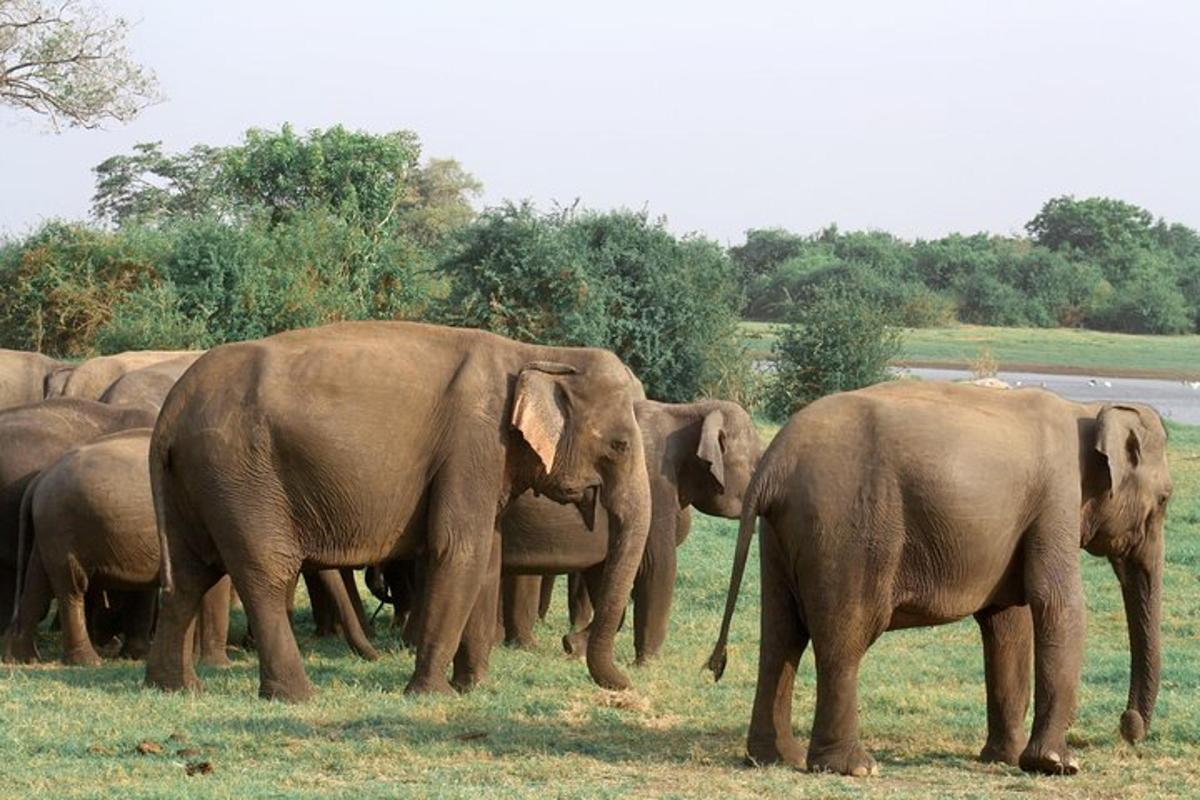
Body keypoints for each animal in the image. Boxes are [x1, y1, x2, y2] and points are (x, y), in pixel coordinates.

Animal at [4, 431, 231, 671]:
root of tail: (41, 478)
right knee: (72, 587)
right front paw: (218, 665)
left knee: (38, 583)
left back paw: (21, 658)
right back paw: (88, 662)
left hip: (49, 528)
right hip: (61, 525)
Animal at [144, 319, 652, 700]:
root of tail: (169, 415)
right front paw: (432, 694)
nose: (624, 684)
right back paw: (297, 695)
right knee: (265, 571)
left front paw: (473, 688)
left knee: (189, 574)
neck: (535, 352)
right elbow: (459, 550)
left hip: (196, 479)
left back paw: (176, 688)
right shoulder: (473, 443)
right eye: (621, 445)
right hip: (240, 473)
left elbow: (488, 556)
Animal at [705, 381, 1166, 777]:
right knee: (844, 639)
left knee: (781, 636)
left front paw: (1005, 757)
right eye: (1164, 501)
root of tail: (775, 462)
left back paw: (775, 758)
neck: (1086, 409)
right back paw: (854, 767)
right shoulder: (1056, 499)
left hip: (781, 534)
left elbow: (1007, 622)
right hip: (846, 531)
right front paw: (1056, 764)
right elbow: (1057, 603)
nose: (1128, 726)